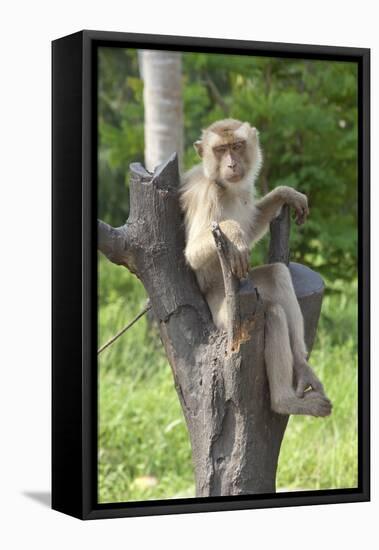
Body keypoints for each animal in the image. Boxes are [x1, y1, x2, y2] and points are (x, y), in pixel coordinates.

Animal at [180, 117, 332, 418]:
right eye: (220, 150)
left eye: (237, 146)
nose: (231, 164)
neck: (225, 187)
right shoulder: (209, 194)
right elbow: (193, 253)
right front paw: (234, 233)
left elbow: (252, 228)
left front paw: (285, 194)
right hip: (225, 315)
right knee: (272, 313)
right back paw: (284, 401)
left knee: (277, 274)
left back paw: (301, 366)